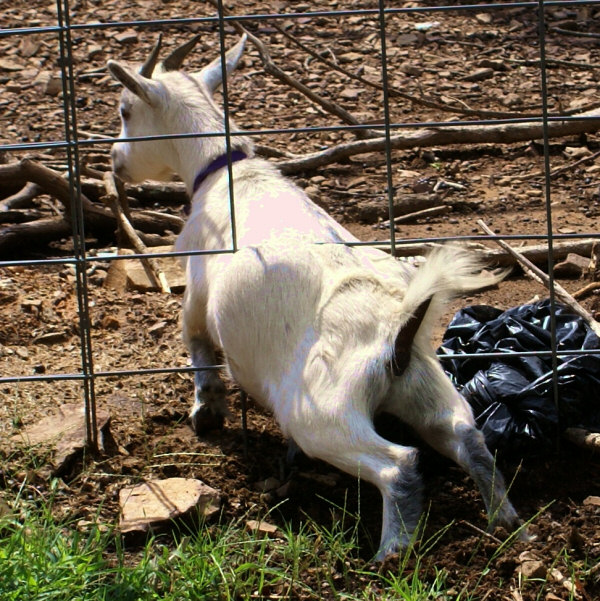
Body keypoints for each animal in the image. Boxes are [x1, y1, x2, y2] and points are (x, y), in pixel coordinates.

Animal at [108, 37, 524, 556]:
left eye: (125, 110)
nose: (115, 164)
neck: (225, 173)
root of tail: (398, 328)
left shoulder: (197, 287)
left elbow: (198, 344)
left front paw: (206, 414)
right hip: (426, 388)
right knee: (468, 439)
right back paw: (506, 523)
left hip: (322, 412)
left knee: (399, 464)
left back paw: (392, 553)